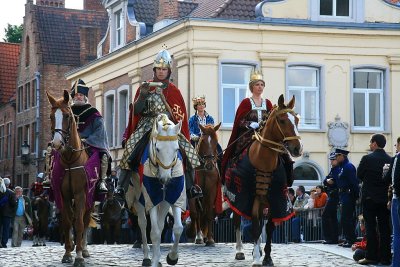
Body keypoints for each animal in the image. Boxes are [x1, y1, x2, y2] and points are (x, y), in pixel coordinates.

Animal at [46, 90, 92, 267]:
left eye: (67, 116)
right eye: (51, 116)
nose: (57, 144)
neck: (71, 159)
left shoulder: (80, 194)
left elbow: (79, 223)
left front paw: (78, 256)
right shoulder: (64, 195)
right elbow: (66, 222)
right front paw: (67, 253)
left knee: (85, 220)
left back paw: (84, 249)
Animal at [227, 95, 302, 266]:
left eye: (296, 120)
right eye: (282, 120)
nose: (297, 149)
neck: (263, 160)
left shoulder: (275, 197)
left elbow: (269, 228)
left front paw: (267, 257)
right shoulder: (252, 197)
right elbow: (255, 226)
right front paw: (256, 259)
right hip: (238, 199)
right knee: (237, 221)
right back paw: (240, 251)